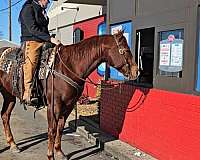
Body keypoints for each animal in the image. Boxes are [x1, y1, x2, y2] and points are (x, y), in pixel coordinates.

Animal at [0, 30, 138, 159]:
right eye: (125, 50)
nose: (136, 71)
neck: (68, 66)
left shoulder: (69, 104)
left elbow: (60, 128)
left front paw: (59, 152)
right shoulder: (54, 105)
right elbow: (52, 129)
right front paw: (50, 155)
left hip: (9, 95)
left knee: (5, 115)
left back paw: (13, 145)